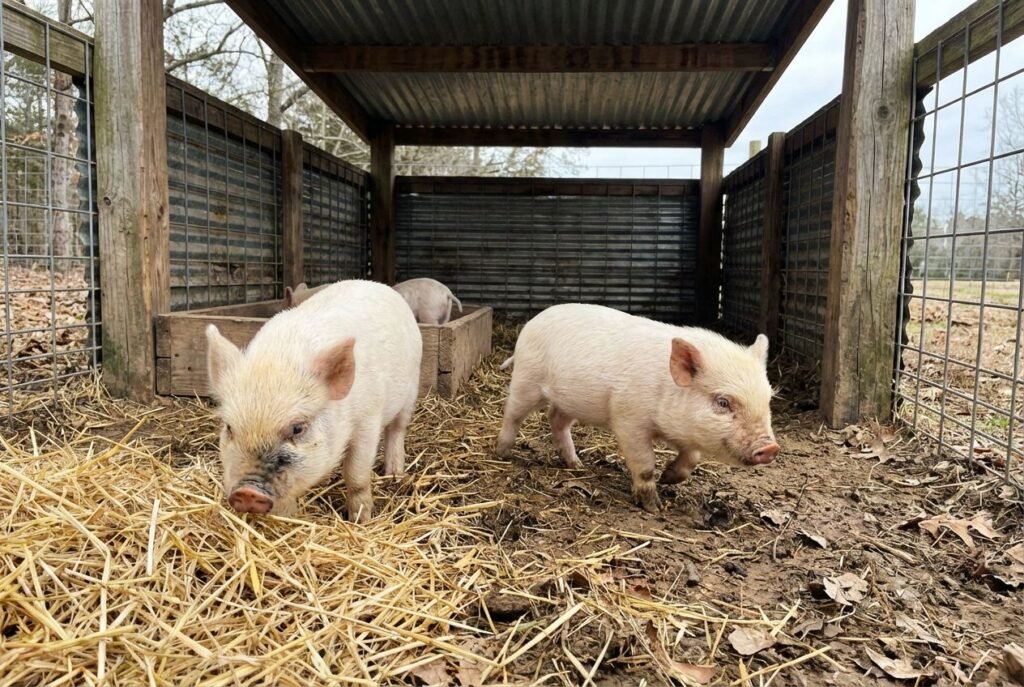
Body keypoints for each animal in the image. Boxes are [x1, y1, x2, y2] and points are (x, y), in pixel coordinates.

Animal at [206, 279, 422, 522]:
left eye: (298, 428)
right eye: (229, 428)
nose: (247, 492)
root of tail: (381, 286)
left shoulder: (368, 418)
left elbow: (356, 475)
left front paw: (361, 521)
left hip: (411, 387)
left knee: (397, 428)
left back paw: (395, 474)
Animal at [495, 303, 779, 513]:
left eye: (768, 400)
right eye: (723, 402)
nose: (770, 447)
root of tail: (532, 322)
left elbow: (692, 459)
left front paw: (668, 478)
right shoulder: (629, 419)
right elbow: (644, 464)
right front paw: (654, 508)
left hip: (569, 400)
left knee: (556, 419)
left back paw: (577, 465)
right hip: (527, 380)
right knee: (513, 414)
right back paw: (502, 453)